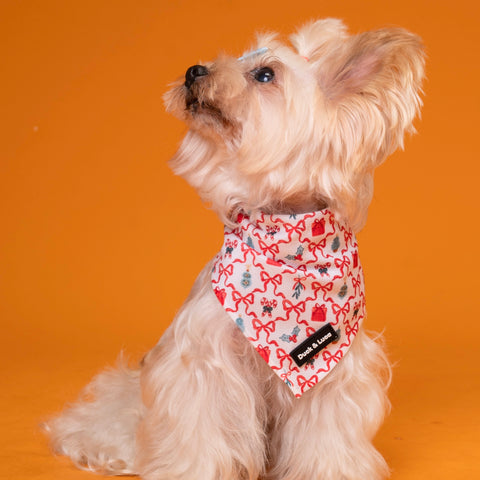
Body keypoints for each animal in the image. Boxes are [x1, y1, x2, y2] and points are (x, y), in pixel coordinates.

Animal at [44, 18, 424, 480]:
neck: (288, 241)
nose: (194, 70)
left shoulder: (333, 373)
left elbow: (327, 440)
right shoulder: (204, 364)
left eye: (264, 74)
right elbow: (201, 434)